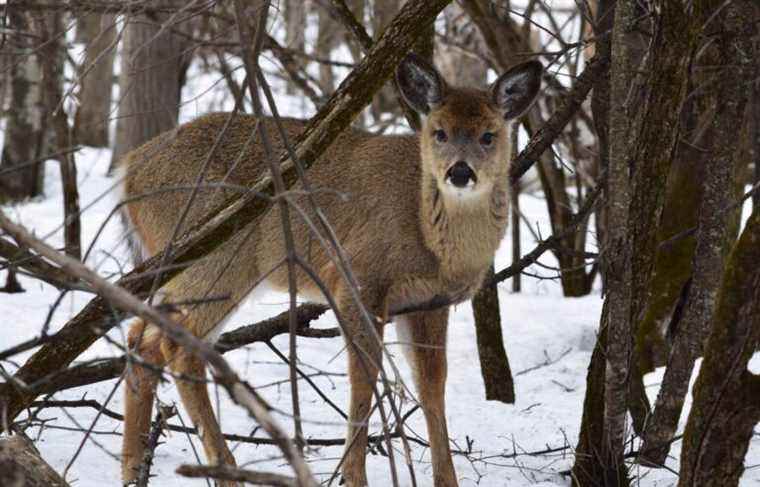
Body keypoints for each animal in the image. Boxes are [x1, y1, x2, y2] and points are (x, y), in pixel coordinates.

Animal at [120, 53, 540, 487]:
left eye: (489, 135)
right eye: (438, 132)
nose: (459, 172)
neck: (430, 237)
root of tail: (130, 169)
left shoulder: (428, 301)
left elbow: (431, 384)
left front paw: (447, 480)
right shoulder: (357, 277)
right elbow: (364, 378)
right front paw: (353, 477)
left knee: (141, 338)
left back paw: (134, 468)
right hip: (219, 260)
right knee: (177, 348)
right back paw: (224, 471)